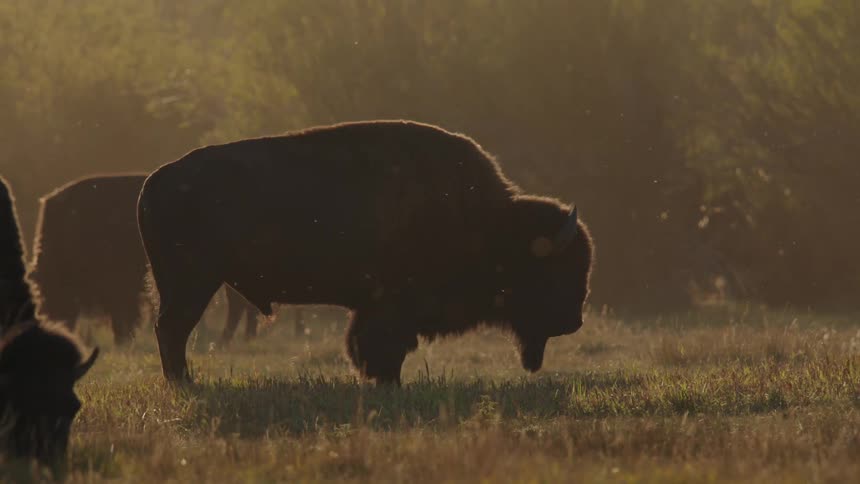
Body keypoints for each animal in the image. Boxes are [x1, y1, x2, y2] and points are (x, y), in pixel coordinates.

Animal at [29, 174, 258, 346]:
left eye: (54, 285)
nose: (53, 321)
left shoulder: (120, 289)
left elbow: (123, 315)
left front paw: (122, 341)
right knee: (242, 305)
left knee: (238, 306)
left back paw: (229, 340)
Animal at [139, 120, 594, 384]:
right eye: (556, 269)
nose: (573, 321)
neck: (484, 220)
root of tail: (154, 182)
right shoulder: (390, 306)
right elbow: (380, 345)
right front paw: (386, 380)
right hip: (192, 284)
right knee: (172, 330)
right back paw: (183, 383)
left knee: (170, 330)